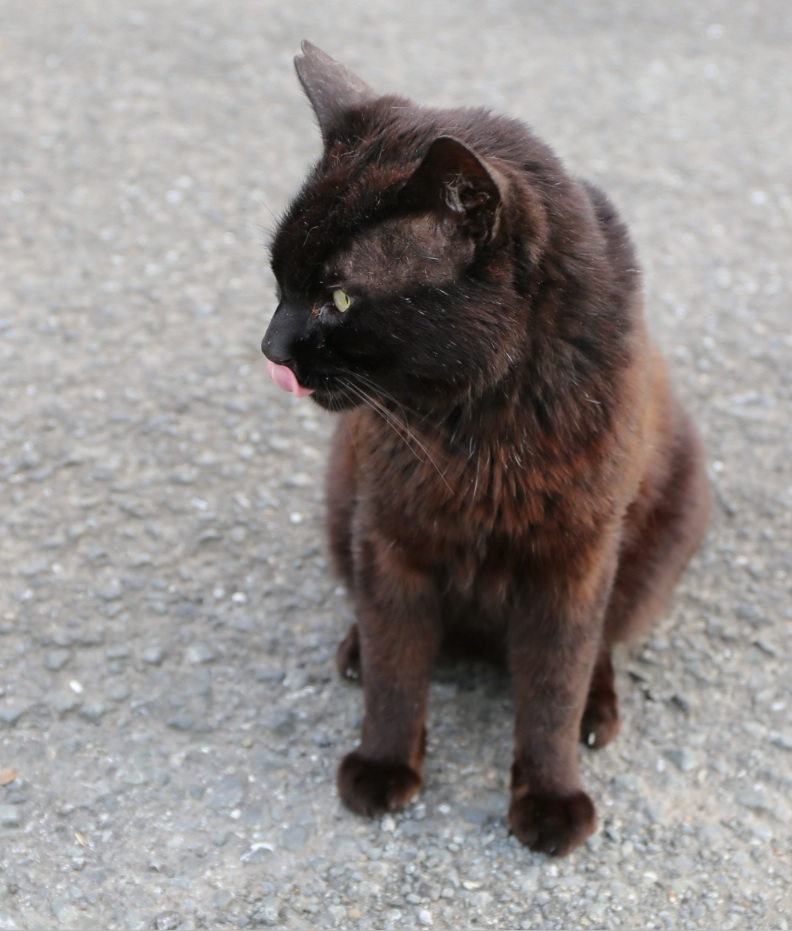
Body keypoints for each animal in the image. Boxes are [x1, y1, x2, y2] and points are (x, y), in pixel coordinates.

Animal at [262, 43, 712, 860]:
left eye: (337, 298)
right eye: (279, 278)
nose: (270, 347)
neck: (478, 431)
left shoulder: (573, 560)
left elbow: (554, 686)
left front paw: (552, 798)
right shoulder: (390, 536)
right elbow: (398, 666)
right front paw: (382, 764)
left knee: (602, 645)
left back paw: (599, 707)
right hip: (342, 505)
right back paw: (355, 651)